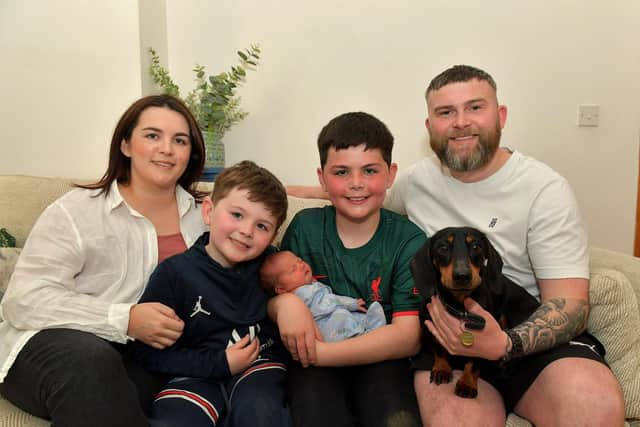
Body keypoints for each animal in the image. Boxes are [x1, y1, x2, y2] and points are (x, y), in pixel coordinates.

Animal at [410, 227, 540, 398]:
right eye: (443, 247)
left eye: (476, 246)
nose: (462, 276)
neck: (459, 305)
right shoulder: (429, 328)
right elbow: (439, 350)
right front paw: (441, 369)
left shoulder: (483, 342)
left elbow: (474, 361)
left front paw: (467, 383)